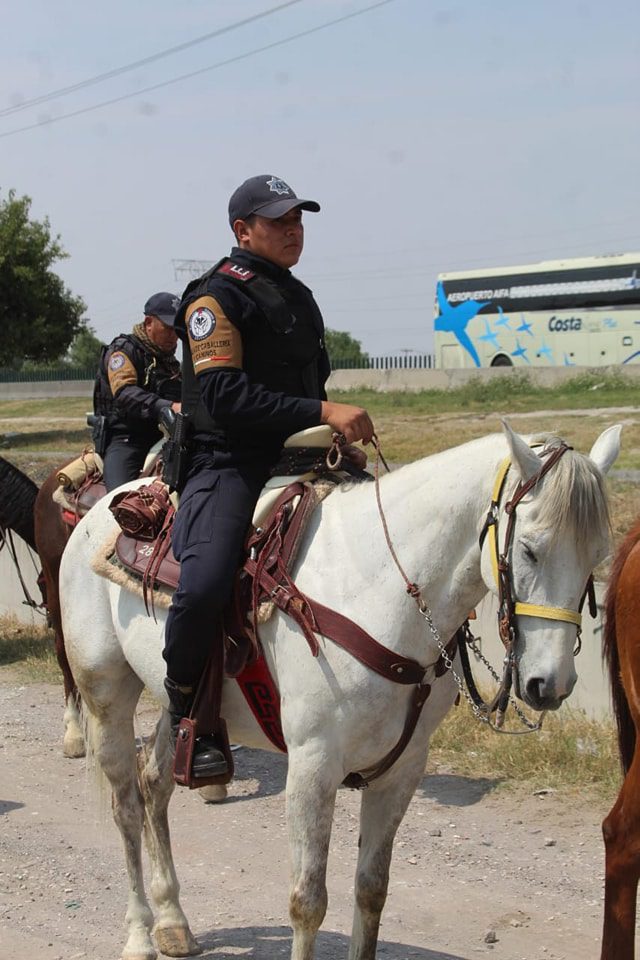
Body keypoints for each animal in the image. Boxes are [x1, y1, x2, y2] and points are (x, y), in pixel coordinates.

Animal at [58, 426, 620, 960]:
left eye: (599, 554)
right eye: (528, 549)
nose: (550, 684)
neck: (380, 590)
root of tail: (103, 510)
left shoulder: (402, 769)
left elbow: (372, 889)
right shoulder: (314, 765)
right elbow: (308, 901)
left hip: (179, 703)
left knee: (155, 783)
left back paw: (173, 921)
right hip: (106, 695)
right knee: (126, 805)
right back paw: (139, 935)